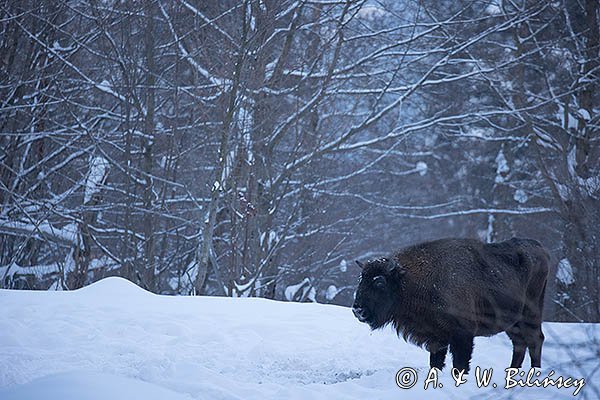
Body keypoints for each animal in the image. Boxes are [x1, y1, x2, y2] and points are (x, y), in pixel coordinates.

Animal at [352, 238, 548, 372]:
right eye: (361, 280)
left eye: (379, 282)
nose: (358, 310)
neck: (409, 280)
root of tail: (540, 248)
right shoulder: (436, 339)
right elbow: (436, 363)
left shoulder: (462, 336)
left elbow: (460, 365)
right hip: (512, 321)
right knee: (520, 343)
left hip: (531, 314)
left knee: (535, 340)